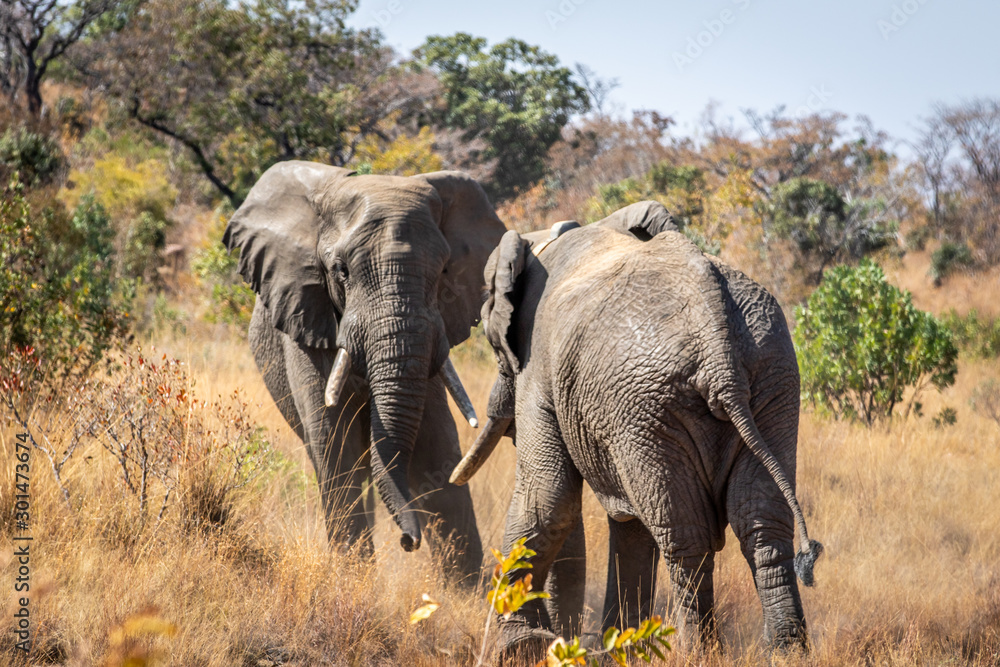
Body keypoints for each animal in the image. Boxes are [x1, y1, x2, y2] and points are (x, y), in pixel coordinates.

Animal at [223, 161, 506, 581]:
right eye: (341, 271)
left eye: (443, 271)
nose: (407, 541)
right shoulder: (308, 325)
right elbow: (334, 443)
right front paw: (354, 579)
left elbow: (435, 449)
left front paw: (464, 590)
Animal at [449, 201, 823, 657]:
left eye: (490, 336)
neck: (543, 240)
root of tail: (718, 343)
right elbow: (625, 520)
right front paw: (619, 649)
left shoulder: (540, 369)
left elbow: (548, 497)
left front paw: (520, 648)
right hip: (768, 378)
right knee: (761, 522)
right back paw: (785, 650)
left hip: (651, 401)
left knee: (684, 533)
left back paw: (697, 653)